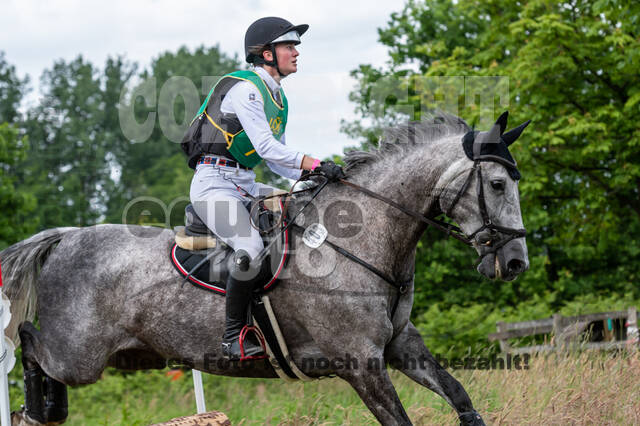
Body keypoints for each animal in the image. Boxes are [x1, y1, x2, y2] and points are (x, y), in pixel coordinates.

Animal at [1, 112, 529, 425]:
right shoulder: (360, 363)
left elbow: (459, 395)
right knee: (29, 343)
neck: (358, 238)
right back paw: (40, 408)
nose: (515, 262)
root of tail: (66, 236)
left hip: (127, 356)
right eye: (498, 184)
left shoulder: (400, 344)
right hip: (80, 358)